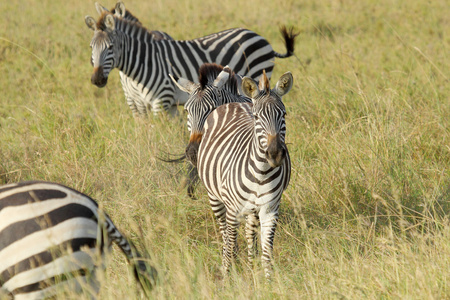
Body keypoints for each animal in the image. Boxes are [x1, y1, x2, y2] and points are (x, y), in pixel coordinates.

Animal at [85, 6, 298, 115]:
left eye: (110, 47)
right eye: (90, 47)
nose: (96, 80)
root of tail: (259, 36)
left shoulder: (161, 101)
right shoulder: (137, 105)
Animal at [196, 69, 292, 276]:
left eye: (284, 114)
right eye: (256, 117)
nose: (275, 154)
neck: (261, 173)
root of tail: (236, 102)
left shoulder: (270, 209)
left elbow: (266, 253)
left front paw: (267, 279)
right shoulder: (233, 210)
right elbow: (231, 245)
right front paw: (227, 275)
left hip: (252, 209)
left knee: (249, 231)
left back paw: (250, 262)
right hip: (215, 198)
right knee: (225, 233)